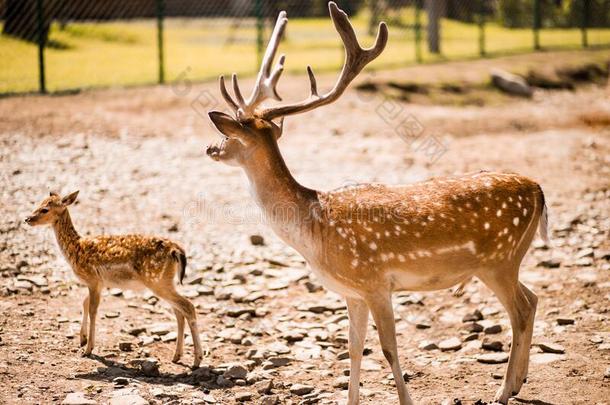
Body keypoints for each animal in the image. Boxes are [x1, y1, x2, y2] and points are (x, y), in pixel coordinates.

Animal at [25, 189, 203, 366]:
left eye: (45, 209)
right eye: (39, 203)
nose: (27, 219)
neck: (76, 250)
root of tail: (176, 250)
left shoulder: (93, 280)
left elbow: (93, 309)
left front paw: (88, 349)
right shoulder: (99, 284)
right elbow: (84, 303)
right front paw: (82, 339)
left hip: (157, 281)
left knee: (187, 306)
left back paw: (197, 360)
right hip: (165, 281)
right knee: (179, 311)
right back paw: (177, 356)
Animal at [203, 2, 548, 400]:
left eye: (229, 135)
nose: (211, 149)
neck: (315, 231)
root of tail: (538, 189)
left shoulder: (376, 281)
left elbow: (388, 348)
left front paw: (407, 400)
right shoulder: (352, 293)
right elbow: (353, 346)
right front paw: (349, 399)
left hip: (498, 261)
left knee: (519, 310)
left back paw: (502, 391)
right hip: (507, 261)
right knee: (533, 299)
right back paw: (518, 382)